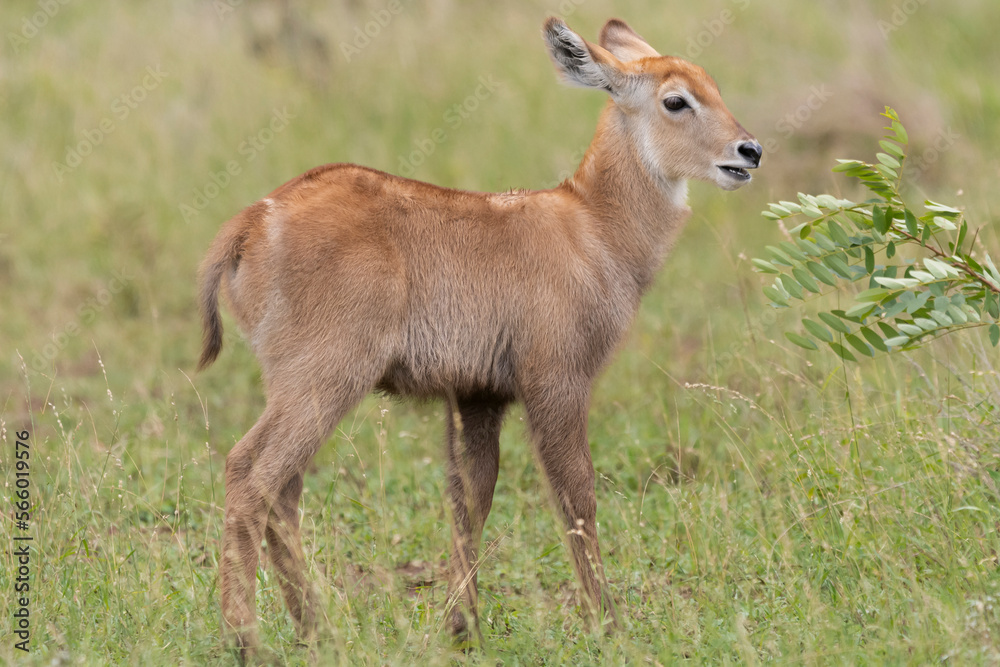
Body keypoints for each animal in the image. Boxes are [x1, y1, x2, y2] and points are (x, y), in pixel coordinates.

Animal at [195, 15, 760, 656]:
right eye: (675, 100)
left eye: (712, 85)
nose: (749, 151)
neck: (593, 225)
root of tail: (255, 219)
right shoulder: (556, 384)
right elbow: (576, 495)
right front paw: (608, 624)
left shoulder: (476, 397)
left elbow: (471, 498)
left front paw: (461, 627)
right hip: (324, 379)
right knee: (251, 475)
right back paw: (247, 638)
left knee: (280, 489)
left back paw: (317, 628)